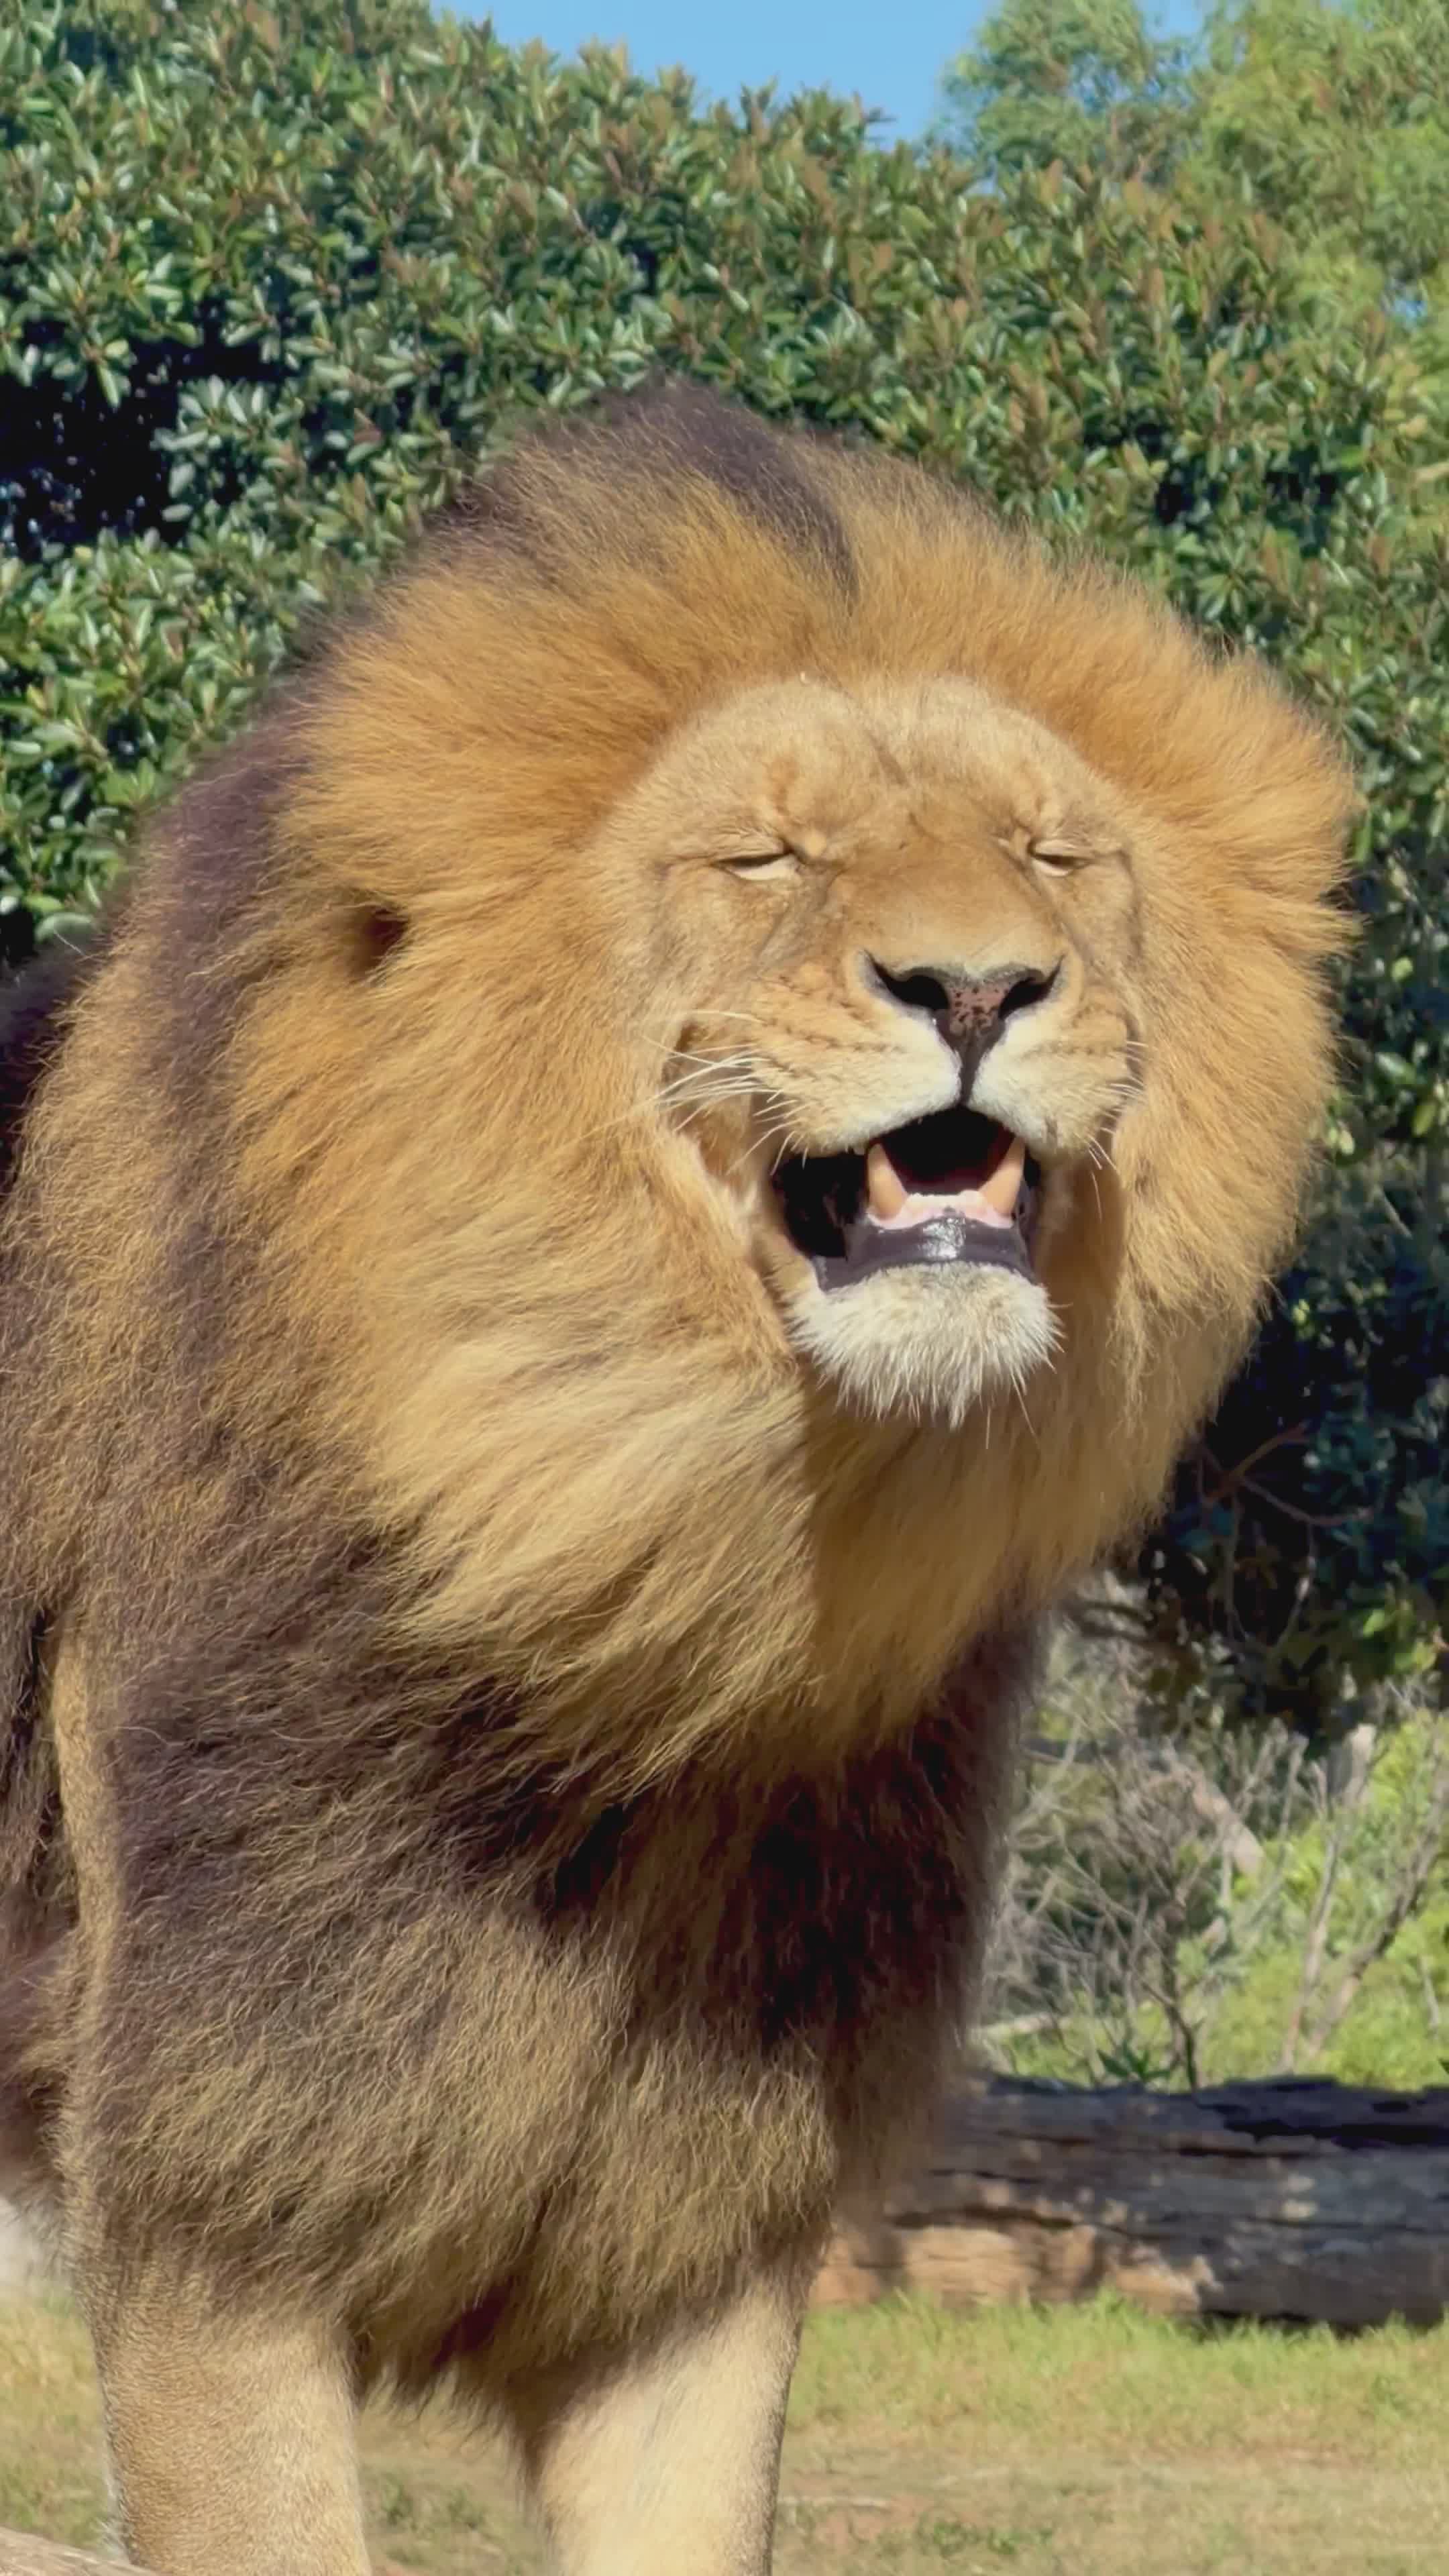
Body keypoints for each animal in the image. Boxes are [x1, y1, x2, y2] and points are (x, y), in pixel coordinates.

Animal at [0, 382, 1351, 2574]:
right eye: (765, 853)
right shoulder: (214, 2197)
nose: (977, 987)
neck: (668, 1611)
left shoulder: (699, 2234)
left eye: (1054, 853)